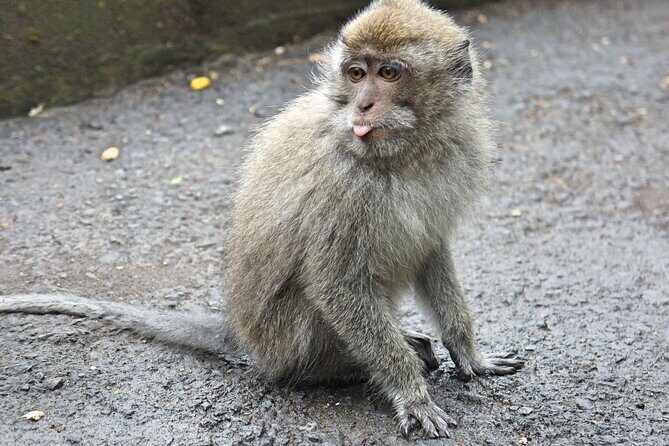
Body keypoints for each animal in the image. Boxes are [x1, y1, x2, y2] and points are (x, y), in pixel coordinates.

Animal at [0, 0, 523, 439]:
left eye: (389, 73)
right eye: (357, 73)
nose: (363, 104)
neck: (404, 155)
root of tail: (248, 340)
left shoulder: (455, 152)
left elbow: (432, 249)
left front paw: (468, 352)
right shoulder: (341, 186)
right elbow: (336, 284)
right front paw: (409, 392)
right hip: (290, 342)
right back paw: (357, 364)